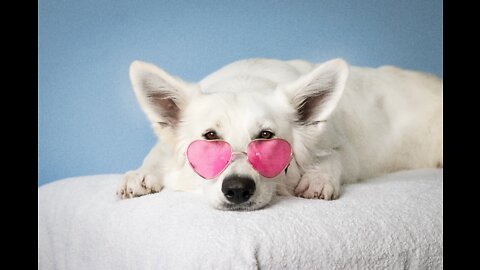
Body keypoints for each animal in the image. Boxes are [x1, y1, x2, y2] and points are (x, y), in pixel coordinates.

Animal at [116, 58, 442, 211]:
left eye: (266, 136)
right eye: (210, 137)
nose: (237, 190)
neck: (245, 81)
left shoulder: (348, 152)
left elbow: (332, 158)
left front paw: (318, 178)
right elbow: (156, 155)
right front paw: (140, 174)